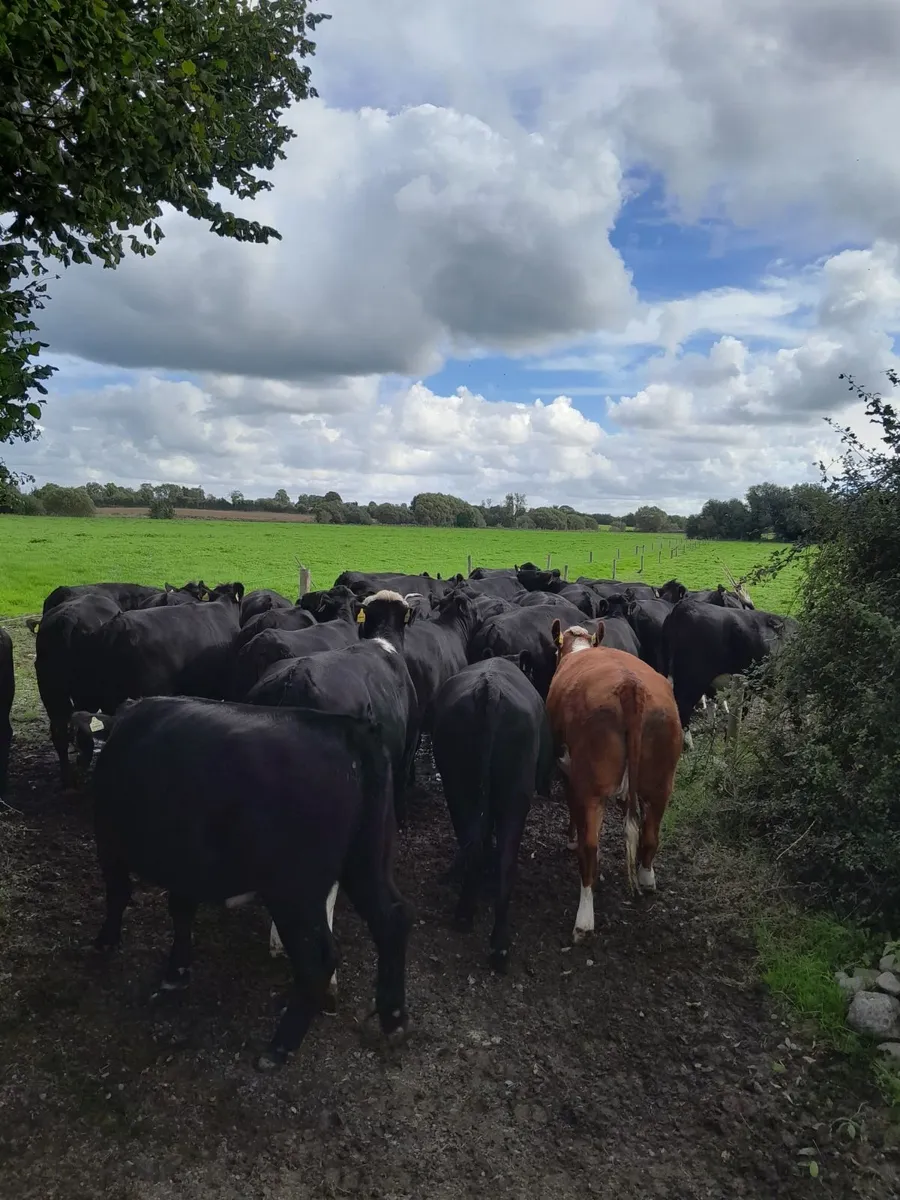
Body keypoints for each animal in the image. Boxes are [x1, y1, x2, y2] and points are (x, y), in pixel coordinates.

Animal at [30, 593, 122, 784]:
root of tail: (68, 619)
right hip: (86, 694)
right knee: (83, 730)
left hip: (51, 691)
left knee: (59, 732)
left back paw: (66, 775)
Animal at [85, 695, 412, 1070]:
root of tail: (350, 729)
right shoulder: (187, 862)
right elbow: (180, 909)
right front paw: (177, 971)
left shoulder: (109, 841)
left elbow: (118, 893)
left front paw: (106, 941)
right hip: (367, 862)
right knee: (392, 920)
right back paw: (394, 1017)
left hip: (294, 892)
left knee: (319, 958)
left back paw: (280, 1047)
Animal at [432, 656, 553, 971]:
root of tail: (490, 688)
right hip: (514, 795)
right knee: (505, 860)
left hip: (458, 784)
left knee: (473, 842)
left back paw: (469, 916)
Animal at [546, 620, 682, 944]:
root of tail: (631, 687)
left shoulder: (568, 771)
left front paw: (570, 839)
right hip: (662, 781)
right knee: (650, 834)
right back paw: (646, 878)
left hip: (591, 786)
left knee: (590, 850)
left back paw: (584, 920)